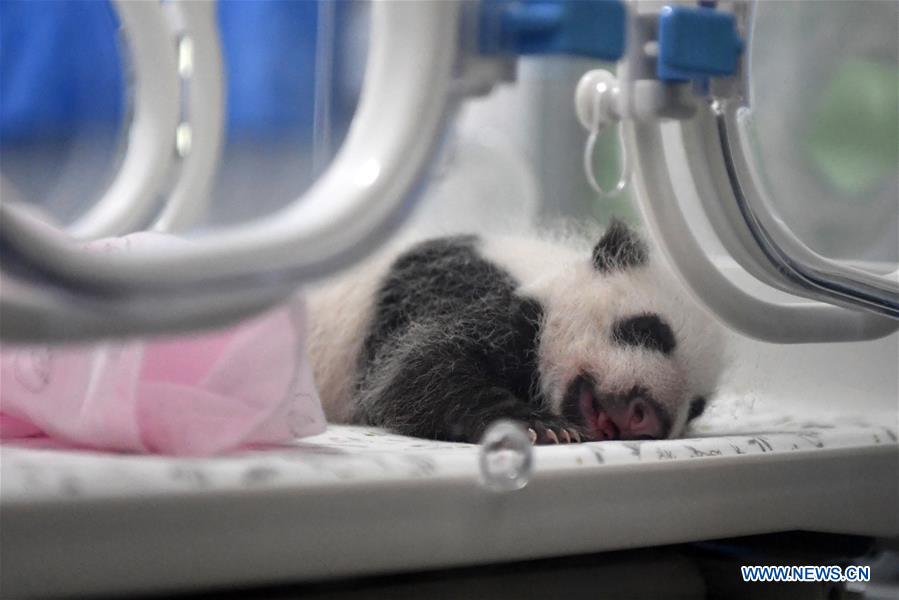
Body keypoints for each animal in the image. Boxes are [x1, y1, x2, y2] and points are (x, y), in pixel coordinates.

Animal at [307, 220, 726, 444]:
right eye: (649, 331)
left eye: (696, 407)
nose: (647, 416)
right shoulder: (448, 285)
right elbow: (416, 370)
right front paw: (539, 426)